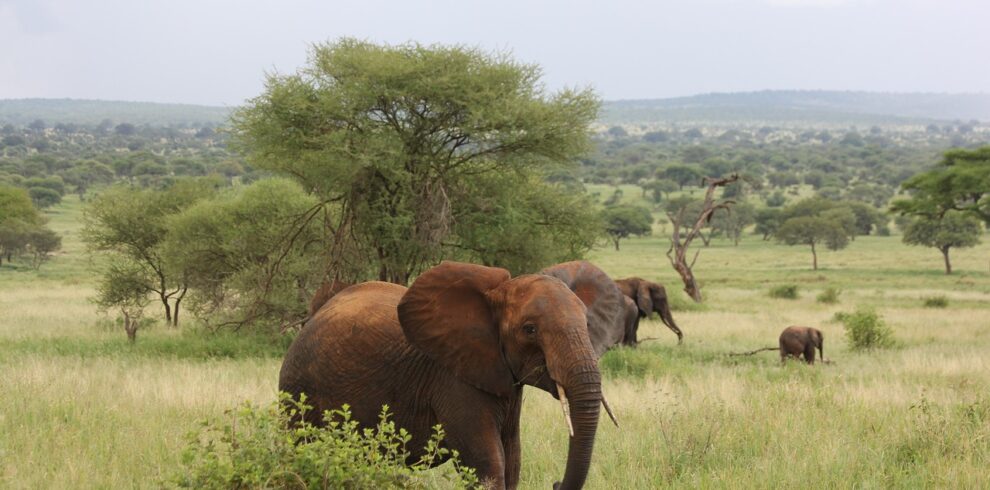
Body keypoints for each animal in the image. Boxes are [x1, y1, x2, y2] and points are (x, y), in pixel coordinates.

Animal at [279, 261, 615, 490]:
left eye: (587, 324)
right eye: (530, 330)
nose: (556, 483)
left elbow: (512, 461)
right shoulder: (452, 380)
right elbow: (488, 465)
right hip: (297, 391)